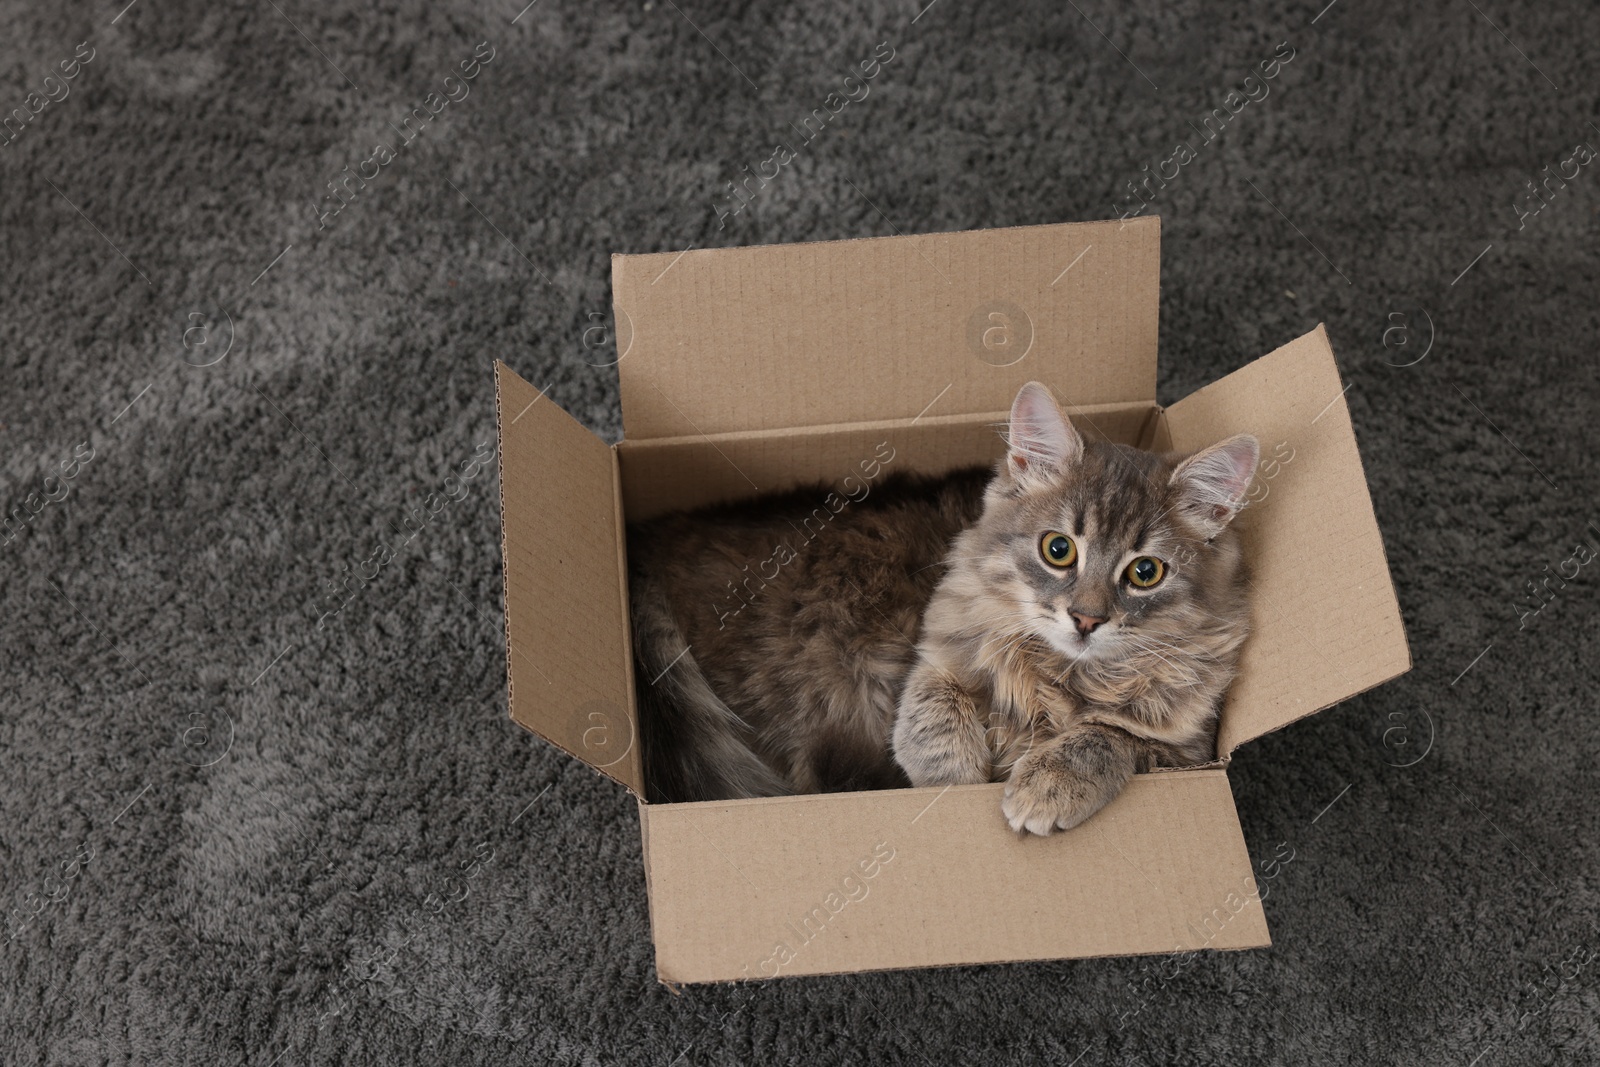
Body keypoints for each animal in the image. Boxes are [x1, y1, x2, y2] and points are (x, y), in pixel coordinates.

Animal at [624, 379, 1260, 838]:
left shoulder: (1188, 750)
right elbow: (934, 715)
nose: (1085, 619)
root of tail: (651, 540)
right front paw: (953, 782)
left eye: (1144, 573)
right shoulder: (934, 660)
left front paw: (1043, 787)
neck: (1059, 675)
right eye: (1058, 550)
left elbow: (1108, 736)